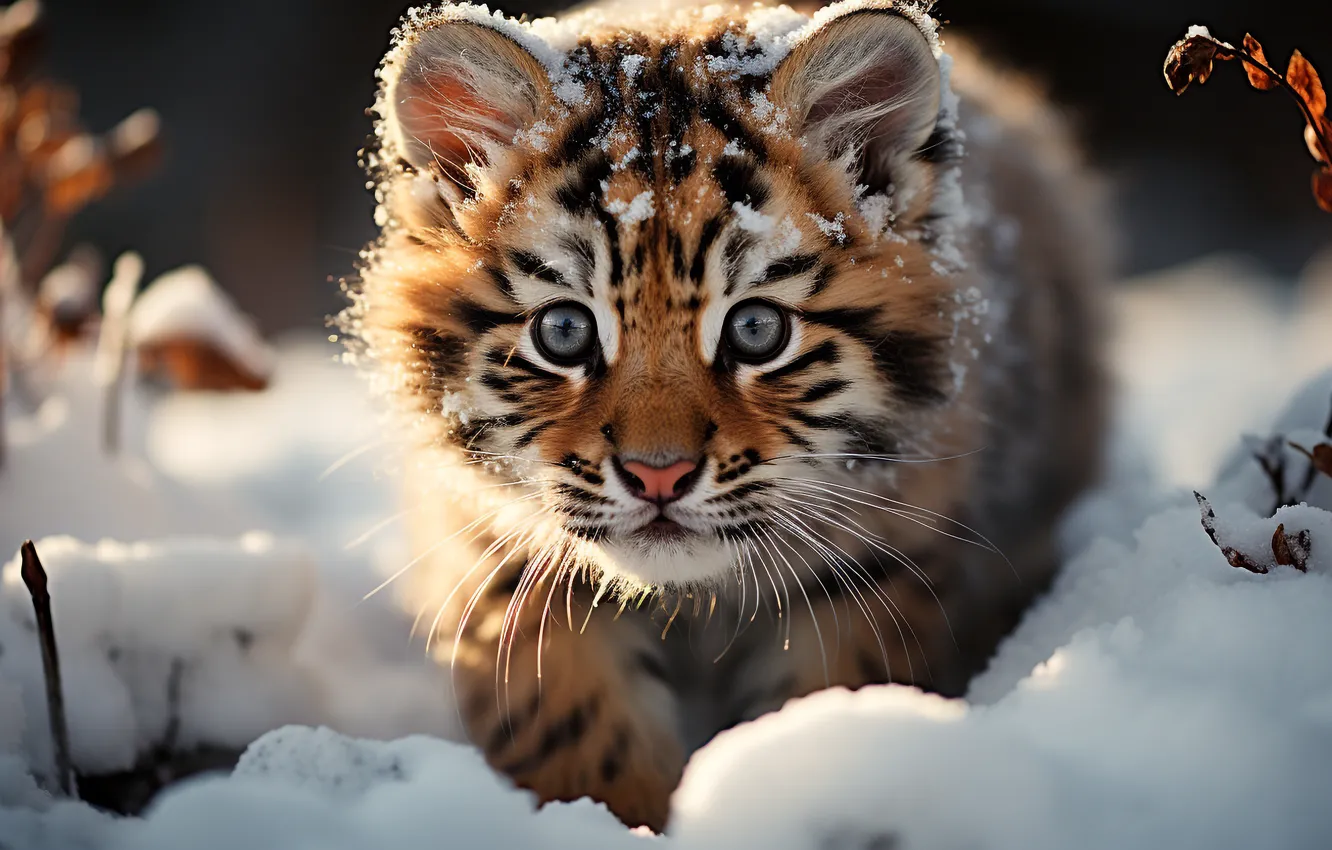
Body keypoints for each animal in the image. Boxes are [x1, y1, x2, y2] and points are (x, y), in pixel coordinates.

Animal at [341, 0, 1109, 831]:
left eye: (756, 330)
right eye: (565, 332)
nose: (658, 476)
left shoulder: (882, 560)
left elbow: (832, 697)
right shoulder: (495, 557)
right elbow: (568, 717)